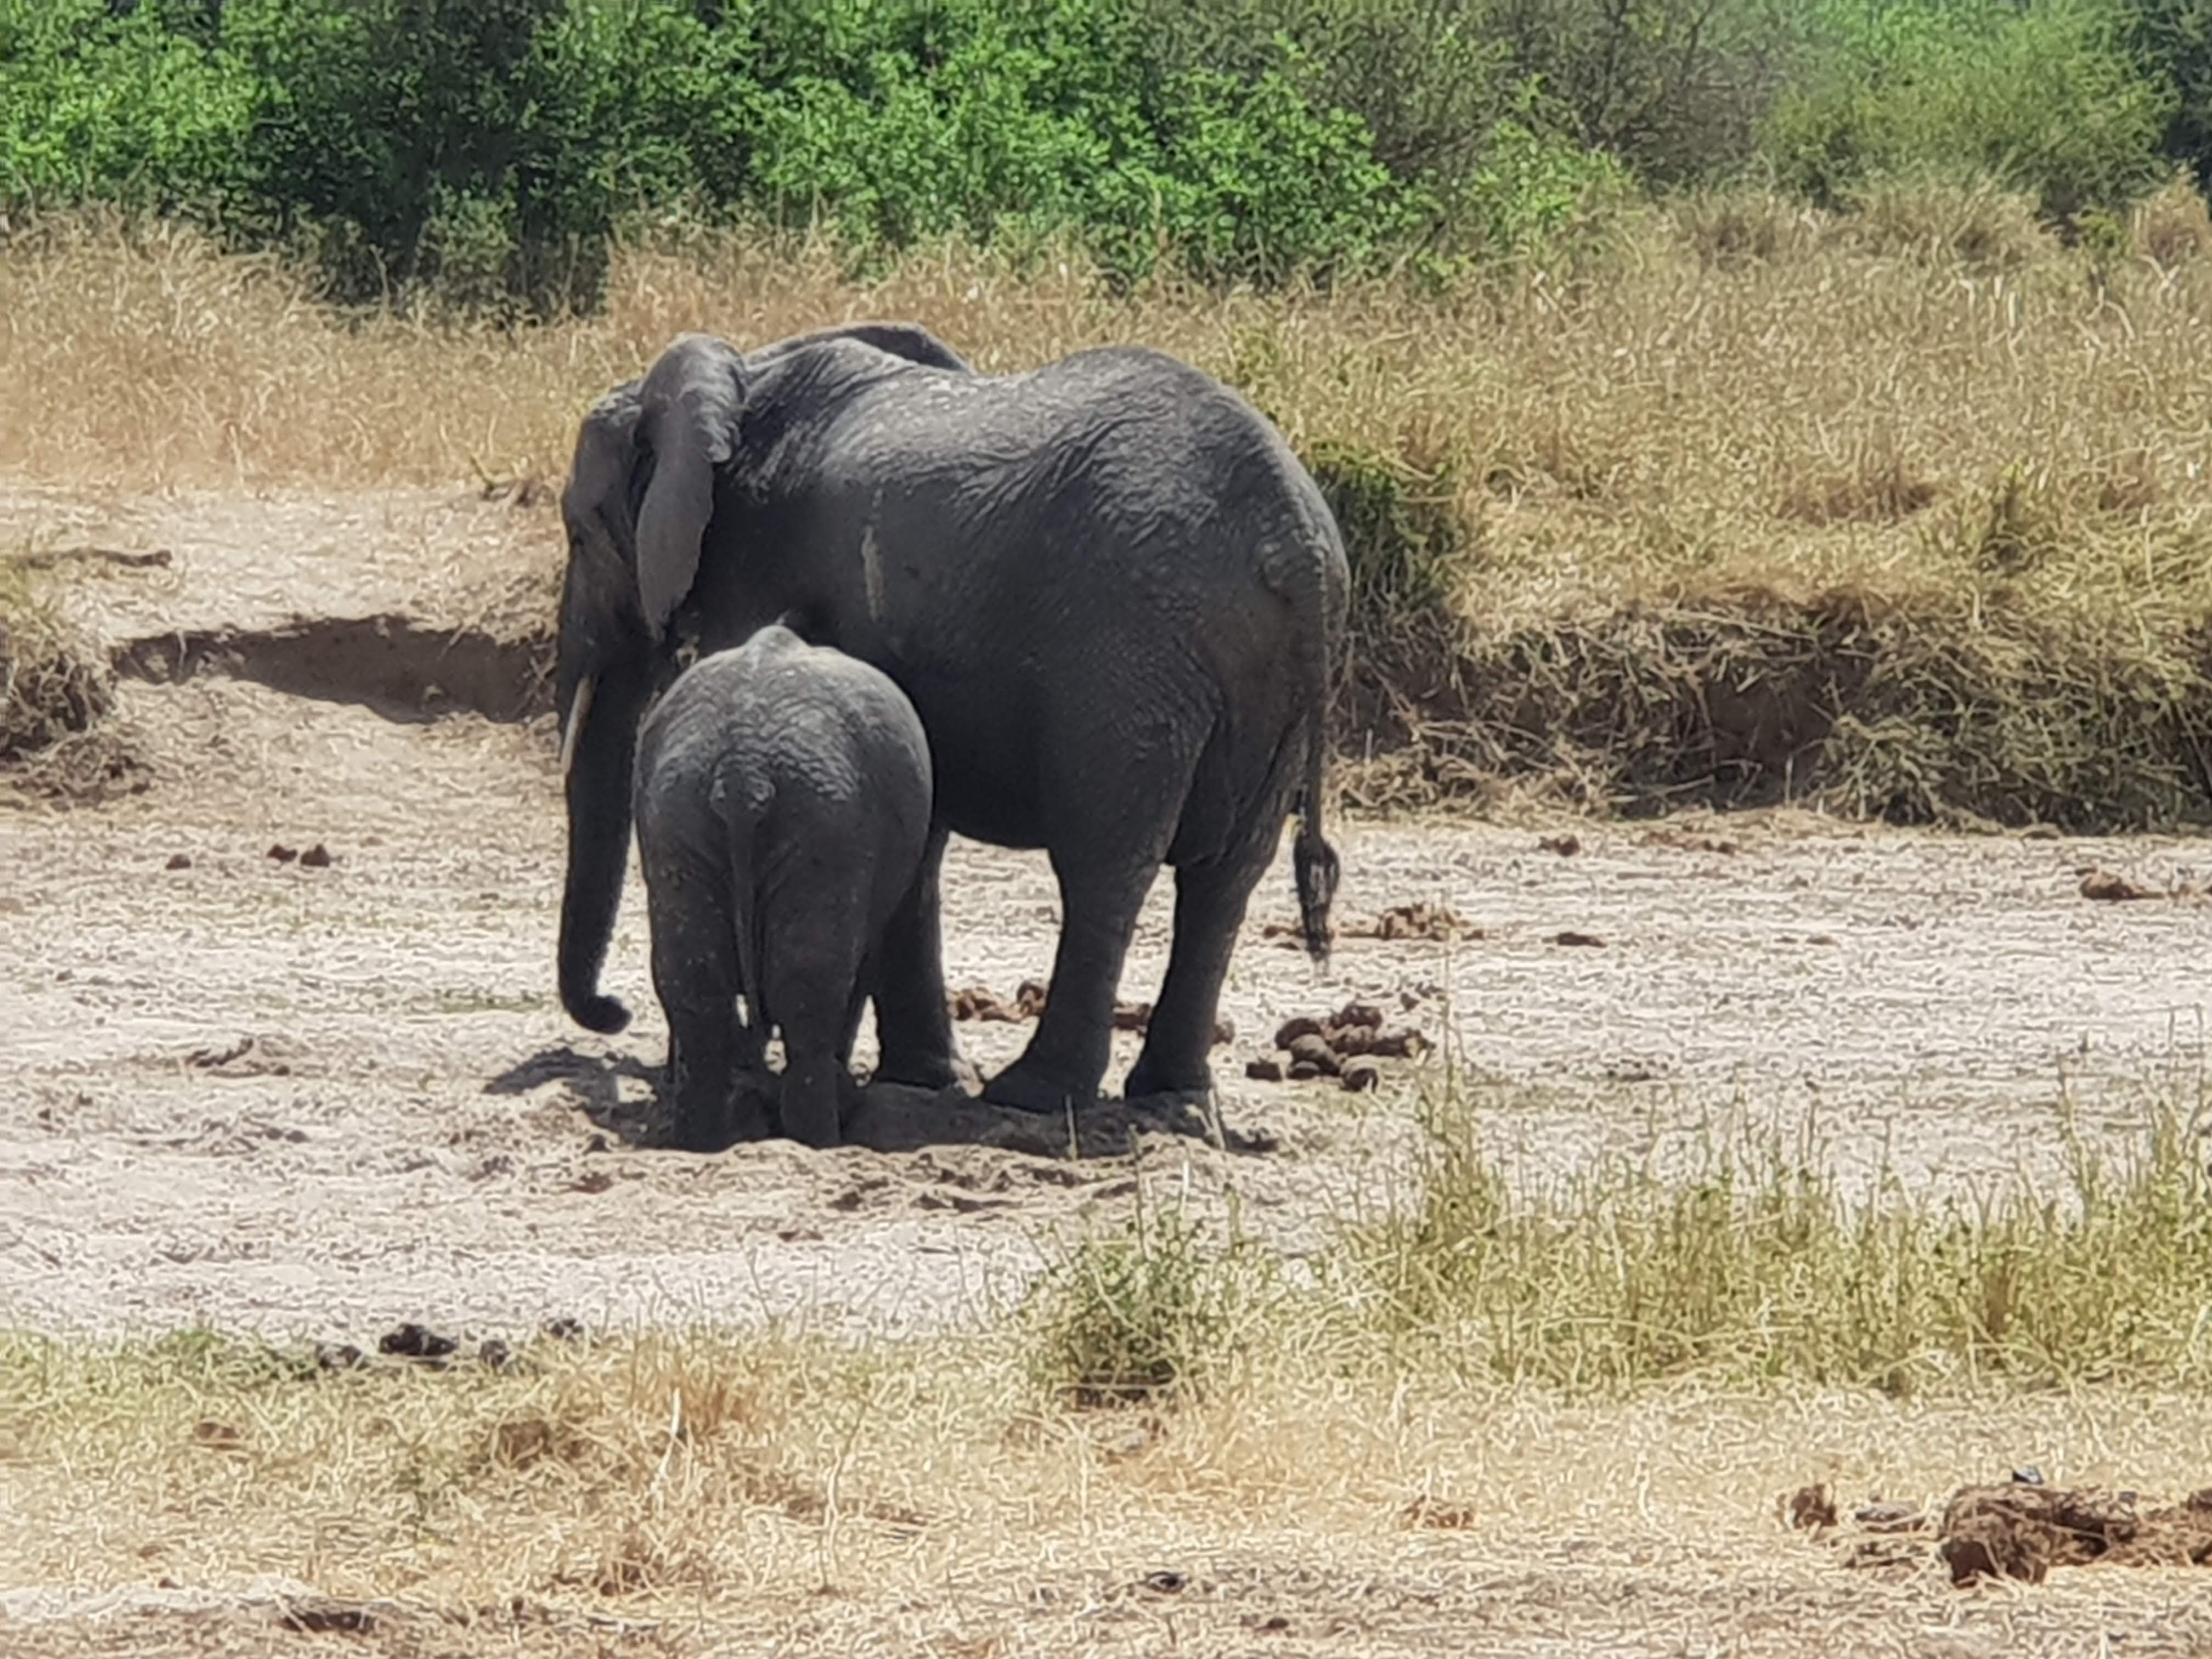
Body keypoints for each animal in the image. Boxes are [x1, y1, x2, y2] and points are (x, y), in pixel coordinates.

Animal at [630, 621, 934, 1151]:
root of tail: (742, 768)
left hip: (679, 814)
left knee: (695, 985)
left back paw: (700, 1144)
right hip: (825, 825)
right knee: (810, 992)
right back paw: (818, 1142)